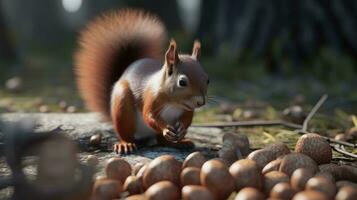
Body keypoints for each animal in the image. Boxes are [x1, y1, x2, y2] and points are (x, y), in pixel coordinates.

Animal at [74, 8, 209, 155]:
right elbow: (149, 116)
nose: (201, 102)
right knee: (126, 133)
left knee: (162, 141)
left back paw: (180, 143)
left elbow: (187, 118)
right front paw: (165, 128)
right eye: (182, 82)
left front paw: (182, 128)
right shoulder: (151, 98)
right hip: (122, 106)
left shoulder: (187, 109)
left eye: (207, 80)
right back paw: (125, 144)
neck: (175, 103)